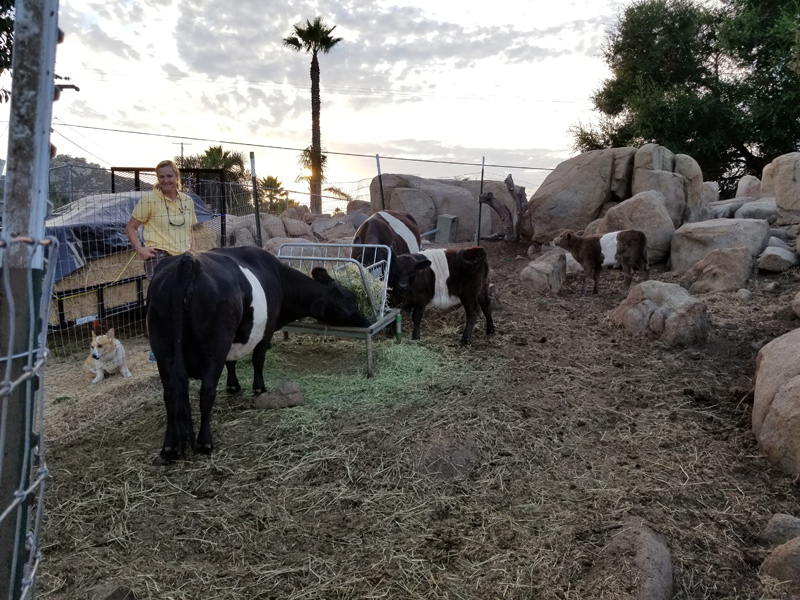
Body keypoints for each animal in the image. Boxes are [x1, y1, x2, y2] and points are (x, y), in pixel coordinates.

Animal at [147, 246, 371, 463]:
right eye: (349, 300)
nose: (367, 320)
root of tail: (188, 260)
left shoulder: (236, 336)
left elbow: (232, 361)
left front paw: (233, 386)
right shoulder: (267, 329)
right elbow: (258, 359)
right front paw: (259, 388)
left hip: (162, 346)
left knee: (171, 393)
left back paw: (169, 448)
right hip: (215, 343)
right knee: (206, 391)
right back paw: (205, 443)